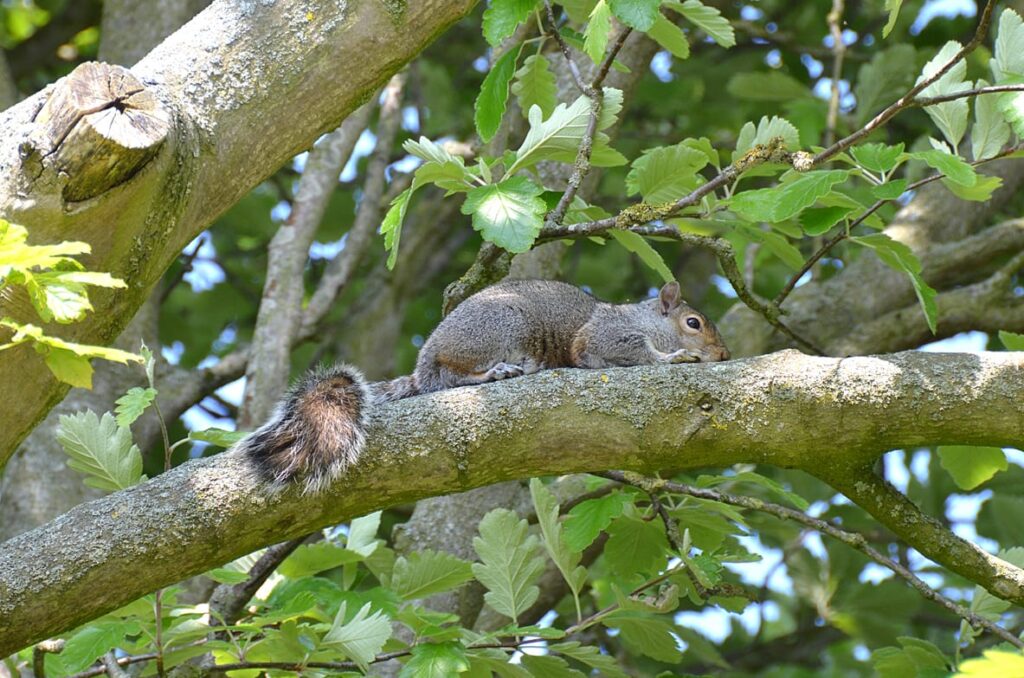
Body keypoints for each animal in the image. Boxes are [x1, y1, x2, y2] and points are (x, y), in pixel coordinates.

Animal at [241, 278, 729, 491]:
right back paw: (498, 372)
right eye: (693, 323)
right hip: (501, 328)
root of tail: (424, 361)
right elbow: (629, 352)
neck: (643, 319)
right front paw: (676, 356)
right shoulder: (606, 336)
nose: (723, 354)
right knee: (450, 376)